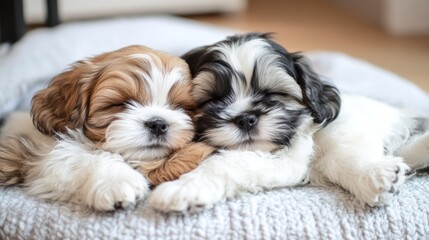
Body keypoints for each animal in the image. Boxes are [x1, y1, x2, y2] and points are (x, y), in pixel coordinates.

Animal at [0, 45, 214, 210]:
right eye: (121, 104)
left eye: (181, 107)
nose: (158, 124)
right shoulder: (47, 159)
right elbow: (87, 155)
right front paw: (118, 181)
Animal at [148, 33, 428, 212]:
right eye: (213, 99)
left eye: (272, 93)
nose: (246, 118)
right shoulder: (278, 162)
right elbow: (229, 163)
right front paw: (186, 189)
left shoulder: (340, 123)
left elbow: (345, 152)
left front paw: (372, 175)